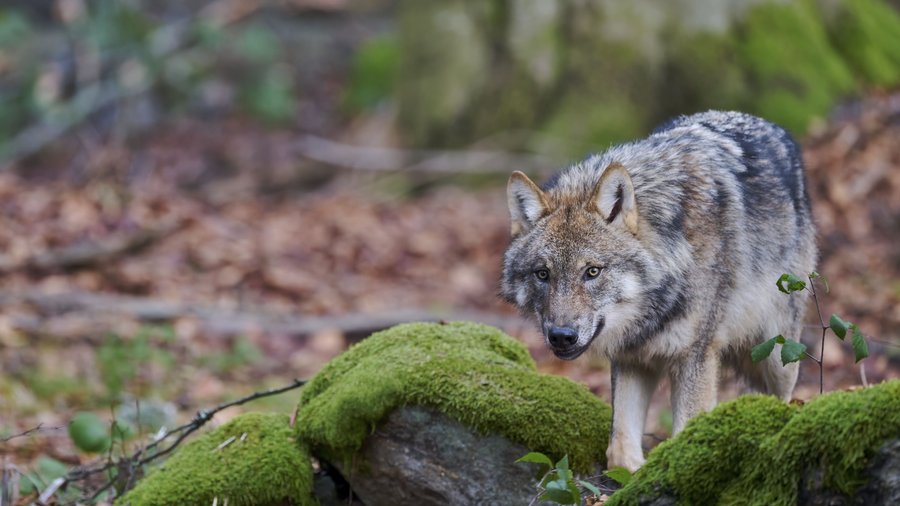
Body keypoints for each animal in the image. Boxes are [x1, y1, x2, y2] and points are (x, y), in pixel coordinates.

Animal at [501, 111, 816, 471]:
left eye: (592, 271)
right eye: (543, 274)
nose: (561, 336)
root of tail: (771, 125)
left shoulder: (696, 356)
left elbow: (685, 441)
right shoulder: (632, 357)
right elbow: (620, 448)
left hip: (778, 356)